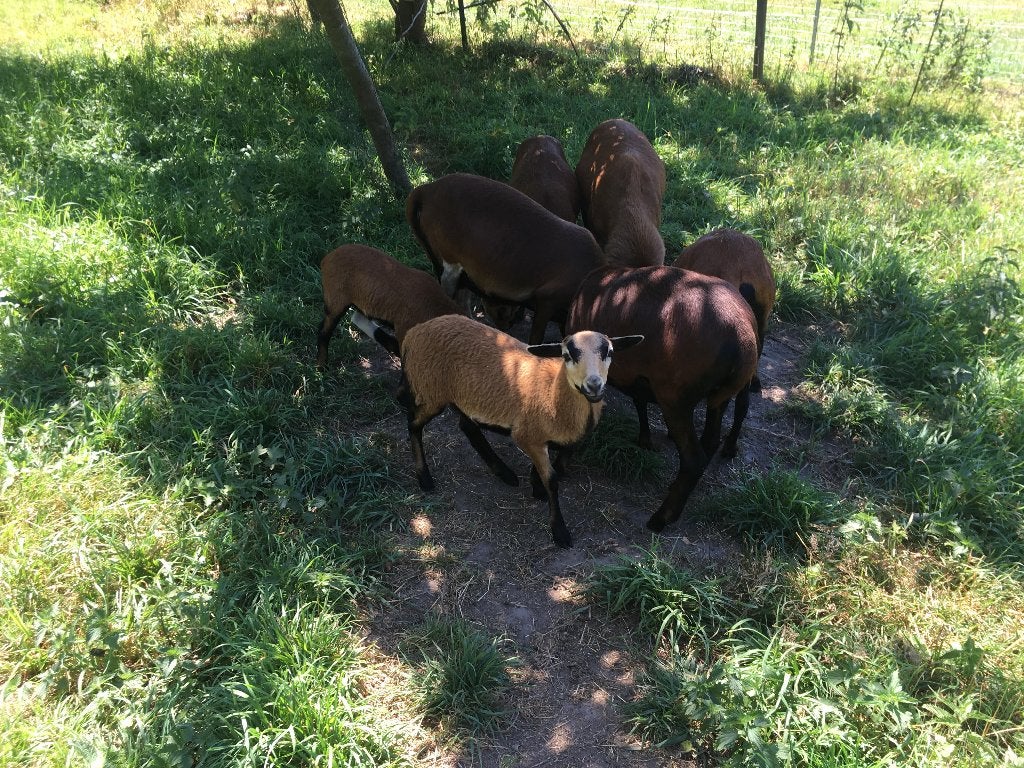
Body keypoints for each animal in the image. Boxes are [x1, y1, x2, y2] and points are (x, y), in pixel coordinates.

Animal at [398, 313, 643, 548]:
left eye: (609, 352)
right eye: (566, 356)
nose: (594, 385)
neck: (553, 392)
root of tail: (415, 331)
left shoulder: (561, 439)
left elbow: (556, 466)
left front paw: (537, 487)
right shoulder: (527, 437)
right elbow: (552, 479)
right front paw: (559, 531)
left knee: (467, 427)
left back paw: (504, 472)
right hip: (431, 391)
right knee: (414, 425)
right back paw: (425, 478)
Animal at [567, 265, 758, 532]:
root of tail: (744, 337)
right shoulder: (641, 378)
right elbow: (639, 402)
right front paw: (644, 439)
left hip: (676, 398)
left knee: (694, 459)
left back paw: (661, 518)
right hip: (718, 397)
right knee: (710, 441)